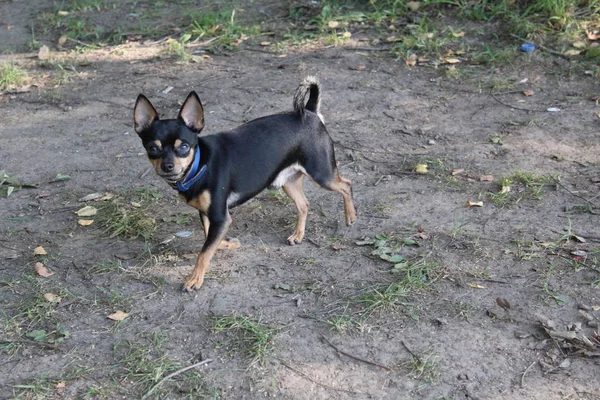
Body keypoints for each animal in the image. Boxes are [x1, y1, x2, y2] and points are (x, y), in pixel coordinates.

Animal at [134, 76, 354, 292]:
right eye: (153, 148)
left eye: (184, 147)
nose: (167, 166)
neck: (200, 164)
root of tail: (310, 112)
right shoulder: (208, 214)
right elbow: (208, 237)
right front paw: (227, 243)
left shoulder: (220, 216)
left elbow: (204, 252)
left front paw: (195, 279)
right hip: (289, 182)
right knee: (304, 204)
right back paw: (298, 235)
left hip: (322, 175)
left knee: (346, 184)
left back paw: (350, 216)